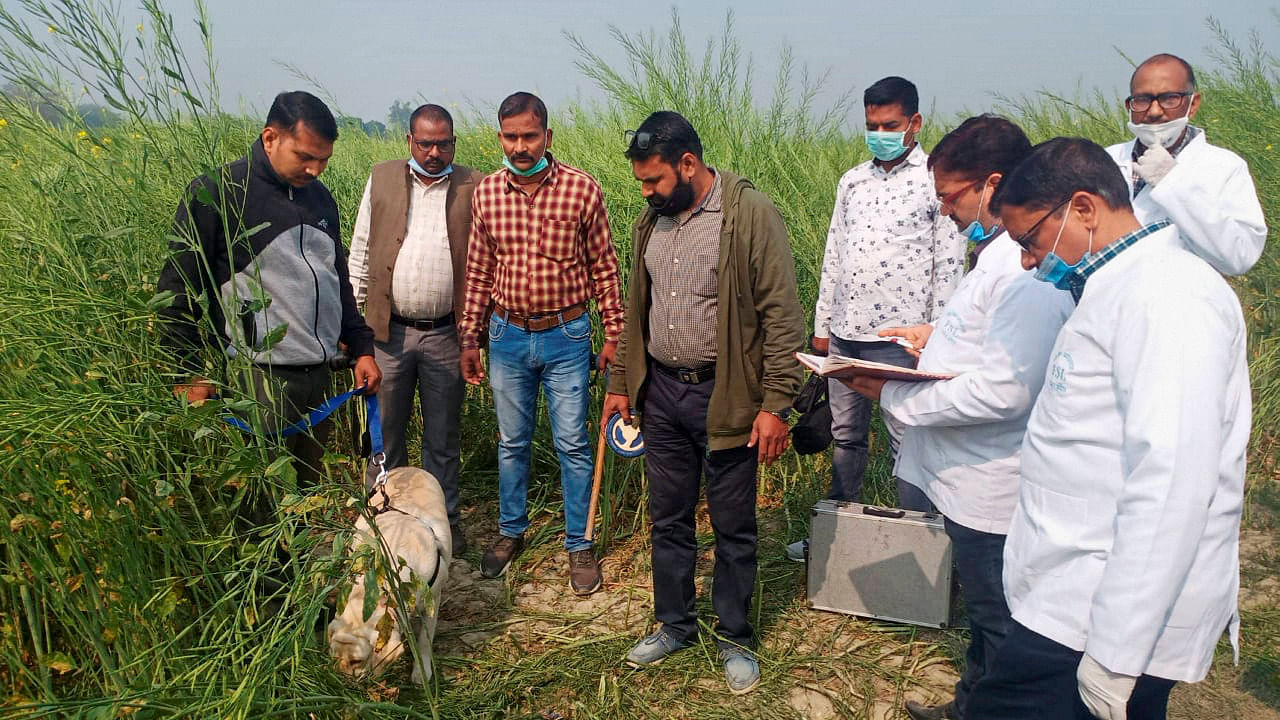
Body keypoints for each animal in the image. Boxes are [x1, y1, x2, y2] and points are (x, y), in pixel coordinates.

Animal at [327, 466, 453, 681]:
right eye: (335, 656)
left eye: (356, 661)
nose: (341, 678)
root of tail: (410, 468)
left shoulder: (433, 601)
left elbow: (424, 640)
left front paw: (421, 672)